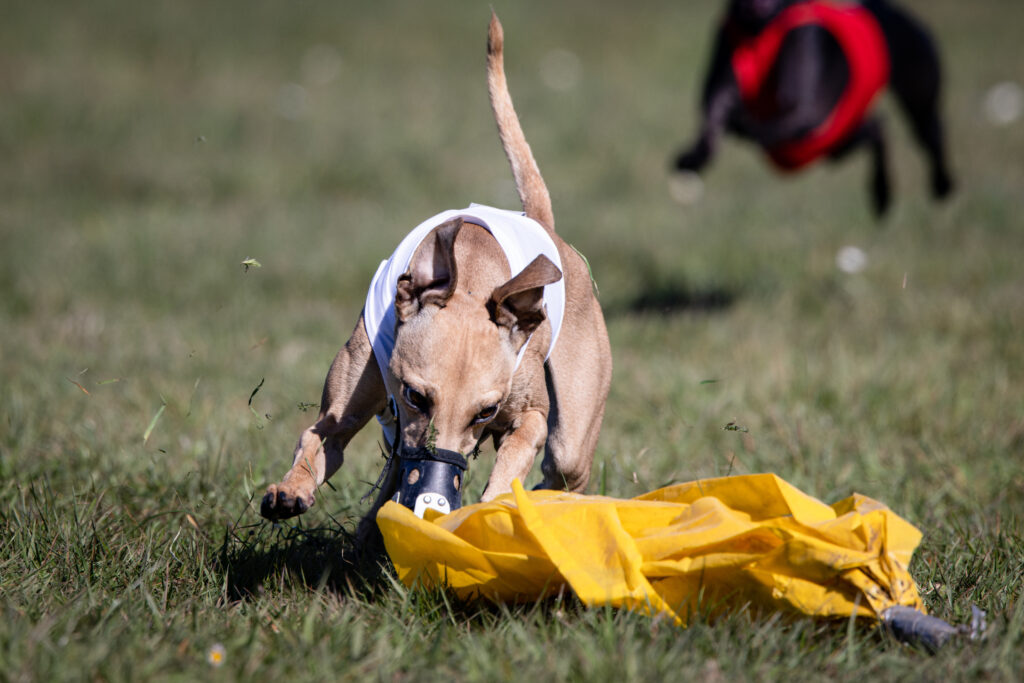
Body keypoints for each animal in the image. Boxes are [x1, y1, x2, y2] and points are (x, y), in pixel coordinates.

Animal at [260, 12, 610, 532]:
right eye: (414, 395)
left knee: (563, 467)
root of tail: (542, 222)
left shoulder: (528, 415)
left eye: (486, 410)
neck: (473, 277)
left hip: (575, 423)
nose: (438, 461)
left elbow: (514, 461)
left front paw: (488, 513)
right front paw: (290, 490)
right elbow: (320, 437)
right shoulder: (353, 409)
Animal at [675, 0, 954, 216]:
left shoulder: (807, 111)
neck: (760, 29)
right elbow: (712, 121)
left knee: (925, 137)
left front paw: (740, 124)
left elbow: (769, 124)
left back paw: (938, 185)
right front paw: (692, 158)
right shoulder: (720, 84)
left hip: (914, 107)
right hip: (834, 144)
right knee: (877, 129)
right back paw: (882, 195)